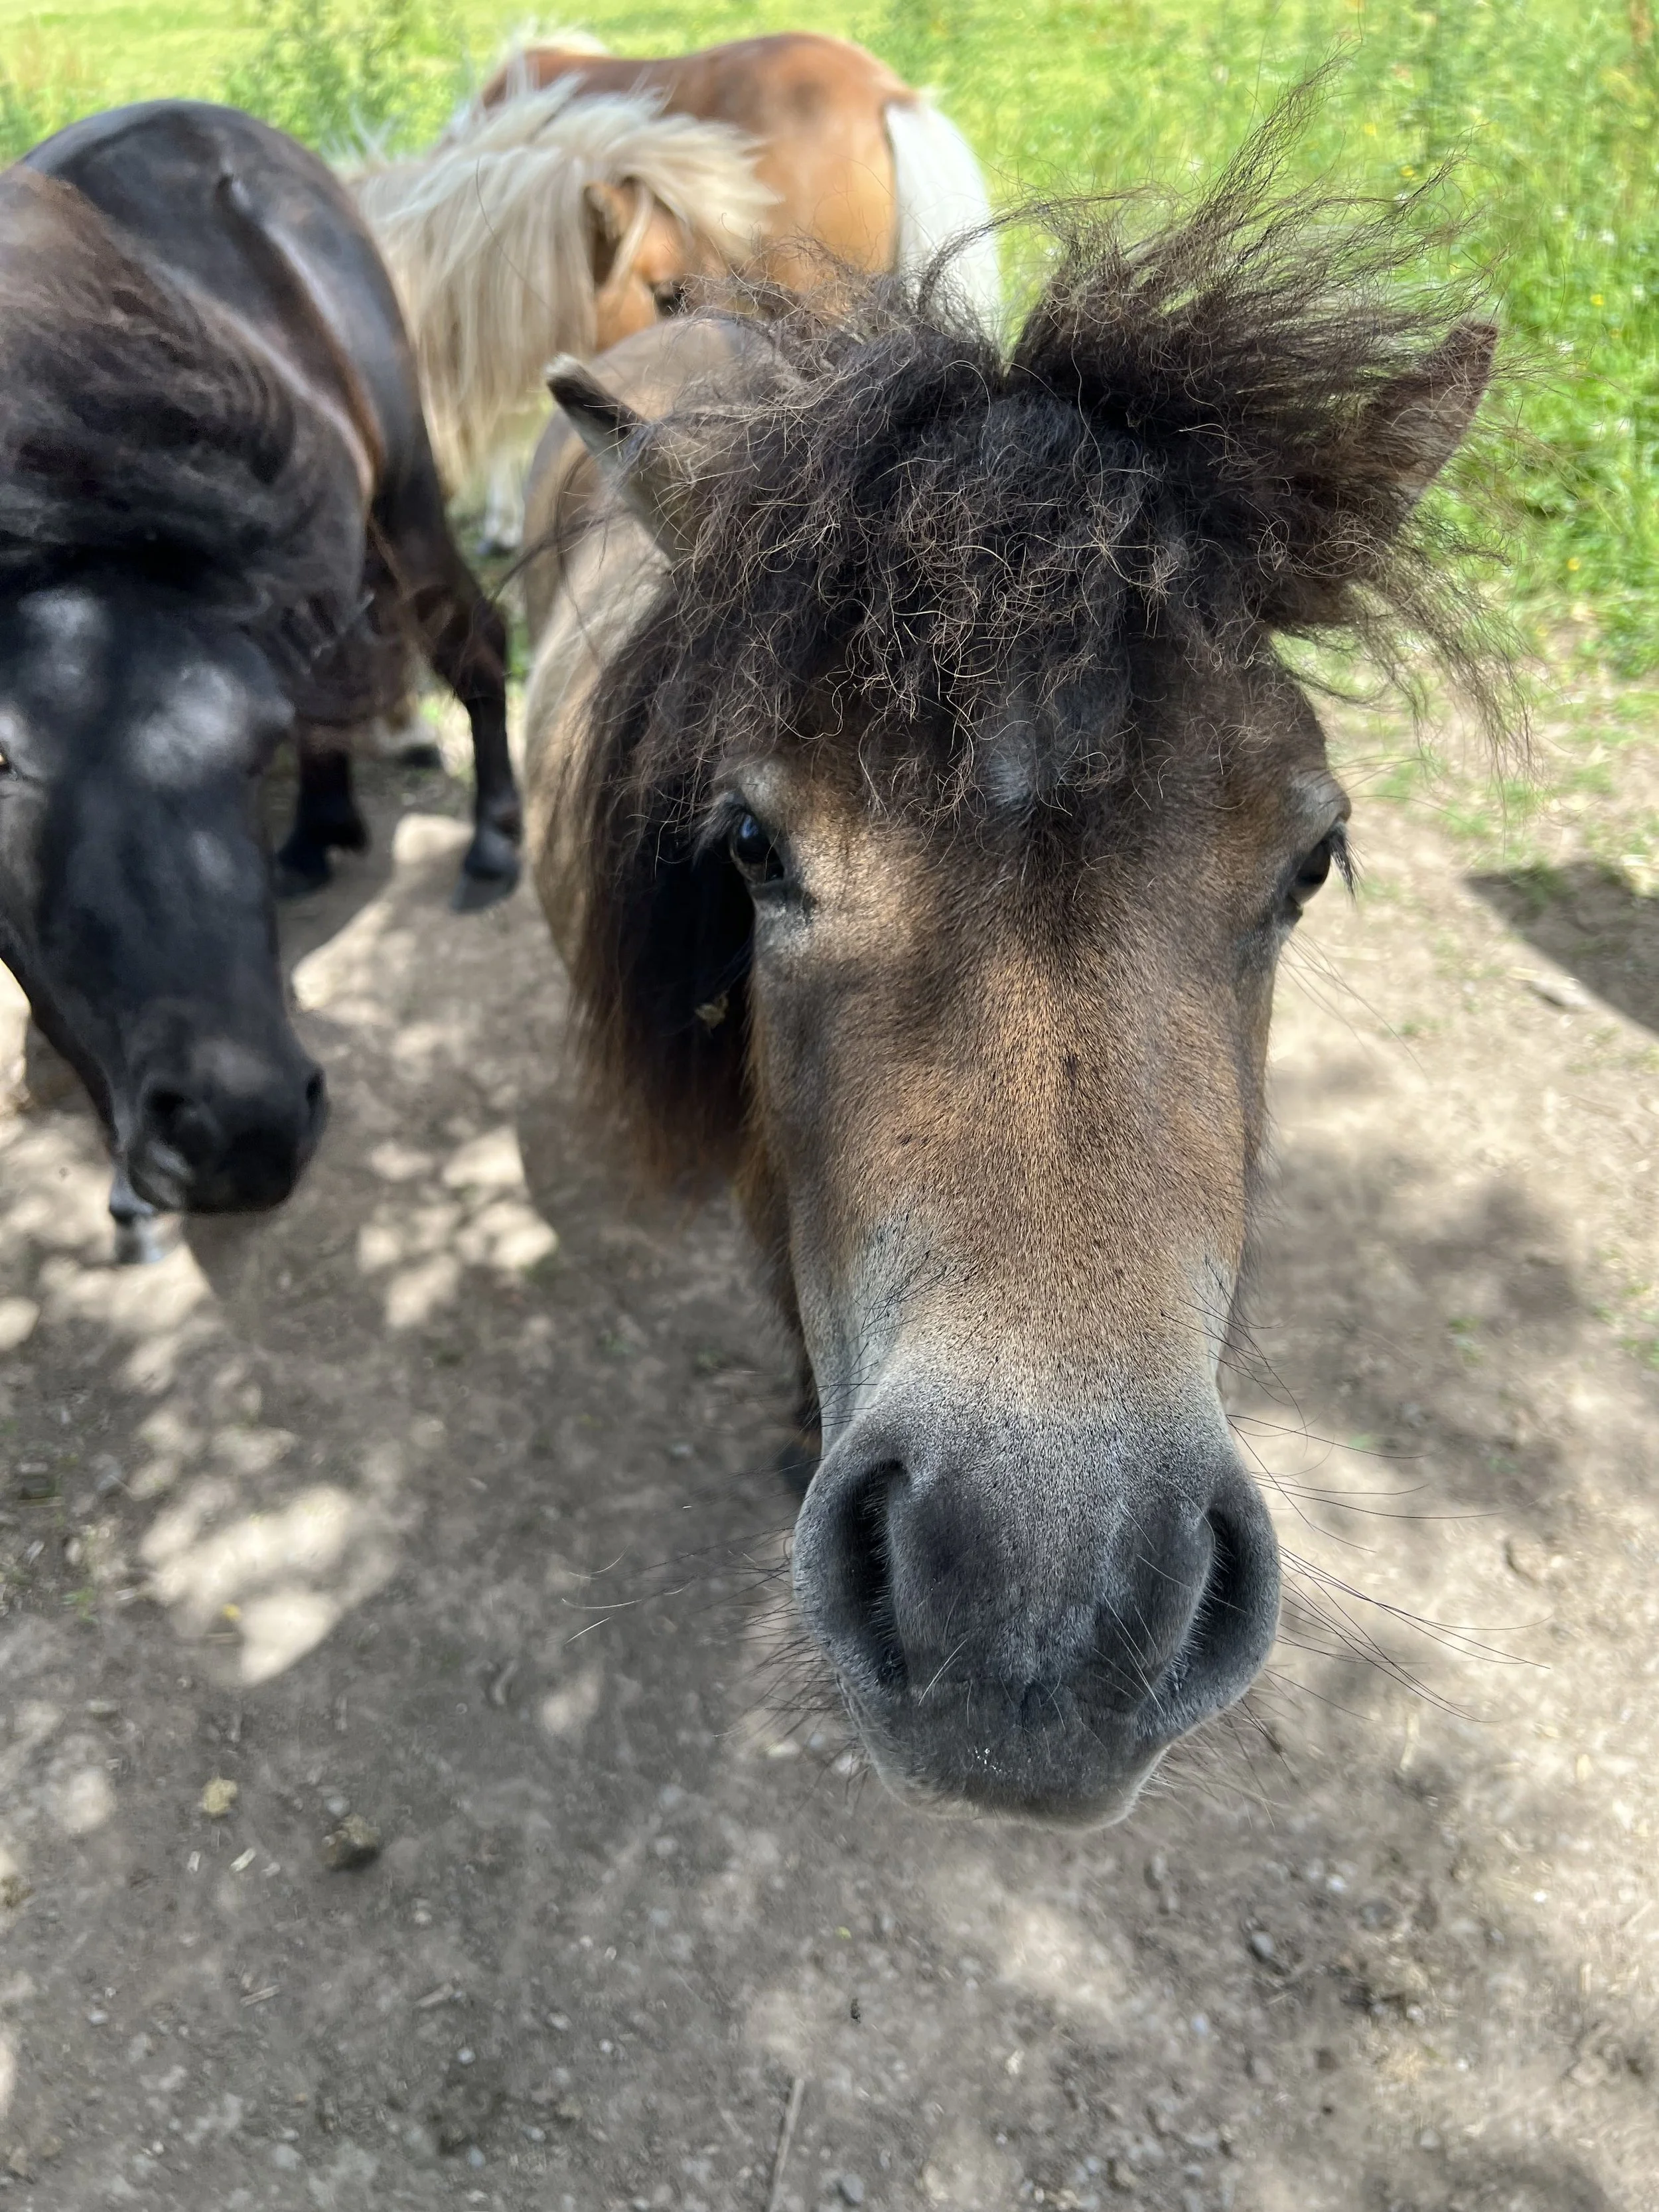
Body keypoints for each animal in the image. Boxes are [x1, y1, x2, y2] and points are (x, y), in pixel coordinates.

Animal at [0, 102, 521, 1242]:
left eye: (249, 746)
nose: (243, 1136)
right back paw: (319, 832)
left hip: (409, 503)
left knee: (475, 645)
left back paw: (494, 841)